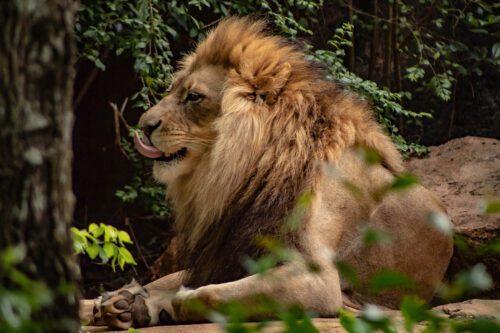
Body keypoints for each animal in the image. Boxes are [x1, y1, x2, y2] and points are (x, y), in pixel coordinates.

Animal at [80, 16, 456, 328]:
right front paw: (138, 301)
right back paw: (112, 303)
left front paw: (170, 303)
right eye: (172, 90)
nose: (144, 126)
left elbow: (209, 293)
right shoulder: (228, 253)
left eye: (194, 97)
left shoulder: (318, 281)